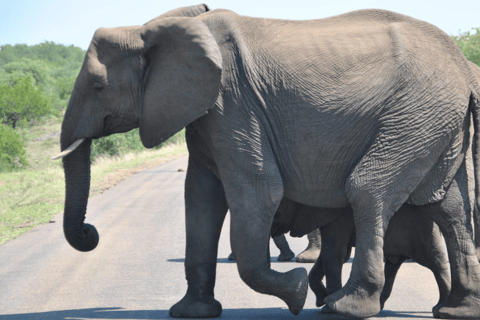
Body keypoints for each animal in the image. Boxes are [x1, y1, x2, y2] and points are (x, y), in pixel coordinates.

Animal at [54, 3, 480, 318]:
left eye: (98, 87)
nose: (90, 233)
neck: (151, 29)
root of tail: (463, 66)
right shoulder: (208, 114)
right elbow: (201, 200)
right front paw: (191, 313)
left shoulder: (232, 103)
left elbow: (258, 192)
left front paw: (296, 290)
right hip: (435, 121)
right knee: (447, 206)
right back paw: (455, 310)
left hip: (416, 113)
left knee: (368, 190)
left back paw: (345, 307)